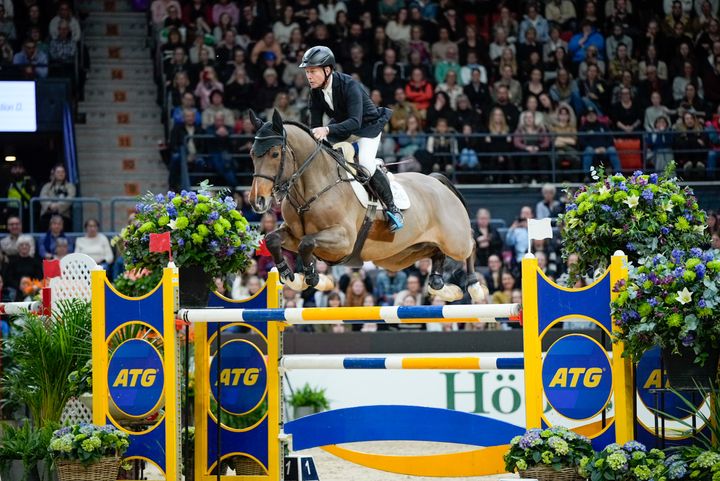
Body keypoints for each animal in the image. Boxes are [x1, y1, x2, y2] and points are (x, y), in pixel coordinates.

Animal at [246, 110, 484, 302]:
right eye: (251, 155)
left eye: (275, 154)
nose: (257, 201)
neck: (311, 190)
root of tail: (437, 181)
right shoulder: (294, 234)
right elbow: (273, 239)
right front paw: (291, 275)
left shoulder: (344, 240)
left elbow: (307, 243)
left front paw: (312, 276)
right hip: (403, 255)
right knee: (436, 254)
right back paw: (444, 289)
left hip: (454, 240)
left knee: (470, 244)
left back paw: (474, 286)